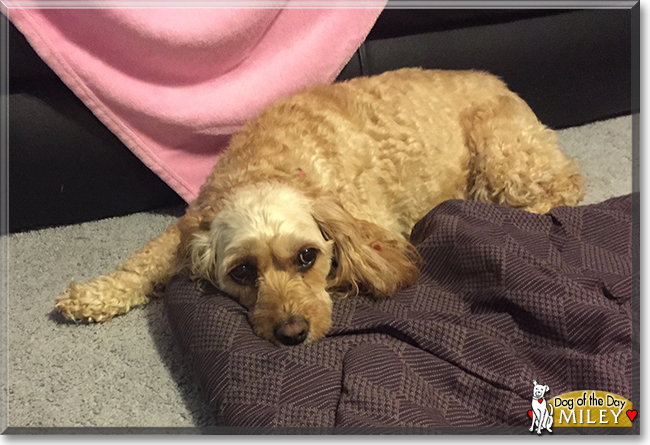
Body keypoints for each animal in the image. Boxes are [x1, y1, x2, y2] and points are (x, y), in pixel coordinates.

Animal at [55, 69, 584, 346]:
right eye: (242, 272)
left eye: (308, 257)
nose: (292, 332)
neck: (271, 165)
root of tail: (499, 81)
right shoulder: (190, 224)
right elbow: (143, 261)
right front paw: (95, 294)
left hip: (503, 156)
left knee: (562, 189)